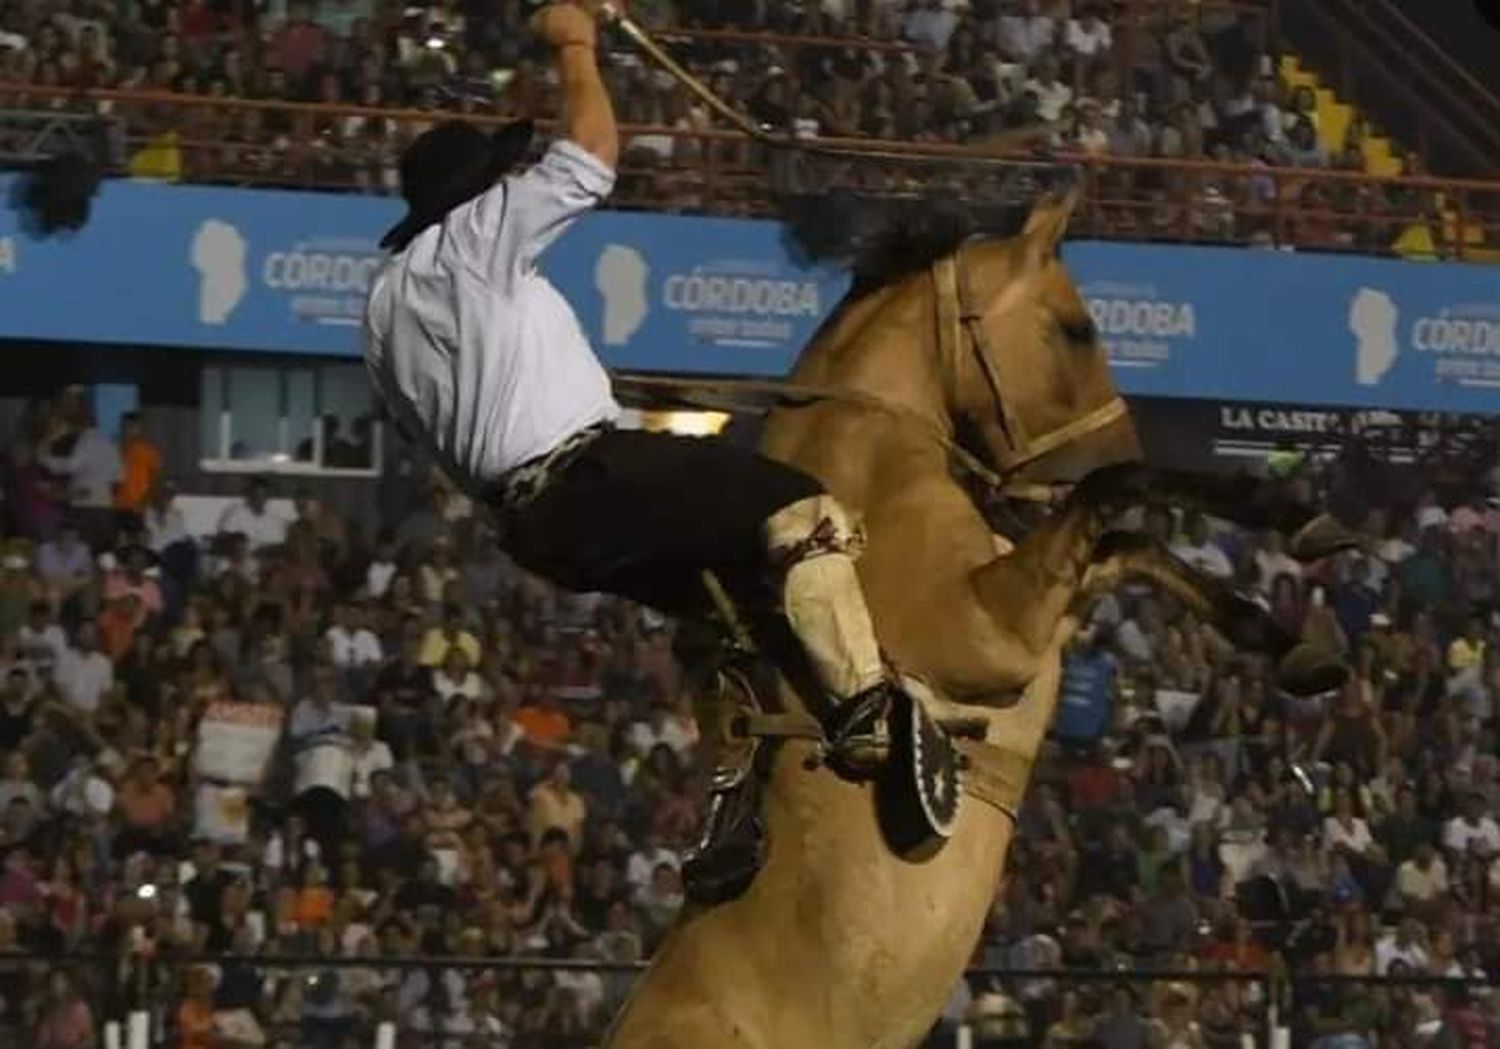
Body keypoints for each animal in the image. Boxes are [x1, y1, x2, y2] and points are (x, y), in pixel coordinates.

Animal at [603, 190, 1344, 1049]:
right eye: (1077, 328)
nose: (1116, 436)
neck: (871, 474)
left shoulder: (1043, 603)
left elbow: (1130, 541)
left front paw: (1296, 629)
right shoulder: (996, 631)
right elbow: (1119, 491)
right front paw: (1289, 516)